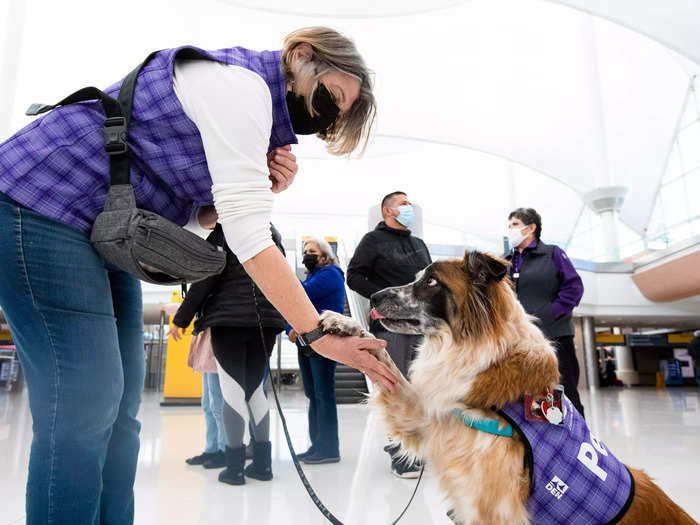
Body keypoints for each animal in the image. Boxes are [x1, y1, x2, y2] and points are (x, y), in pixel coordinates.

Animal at [318, 250, 696, 524]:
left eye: (431, 281)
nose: (374, 296)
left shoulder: (492, 506)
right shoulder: (431, 419)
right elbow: (384, 363)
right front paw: (343, 324)